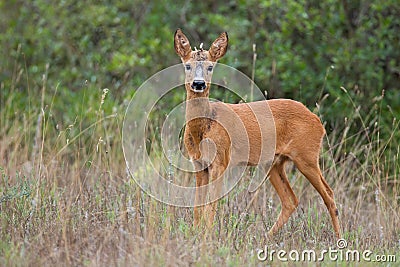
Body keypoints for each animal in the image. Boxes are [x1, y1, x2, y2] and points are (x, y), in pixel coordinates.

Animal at [174, 28, 340, 239]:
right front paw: (194, 235)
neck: (203, 128)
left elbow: (211, 204)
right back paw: (266, 237)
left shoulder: (220, 161)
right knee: (291, 200)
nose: (198, 84)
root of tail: (318, 121)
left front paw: (208, 237)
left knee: (329, 194)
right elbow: (197, 205)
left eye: (210, 67)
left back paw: (340, 239)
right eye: (187, 65)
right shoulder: (198, 164)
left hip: (307, 156)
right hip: (275, 163)